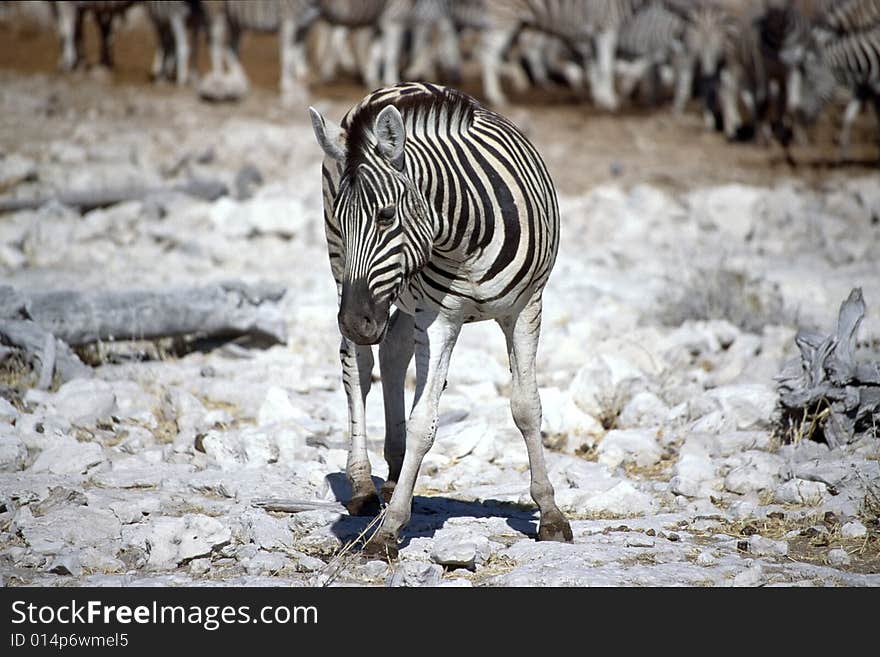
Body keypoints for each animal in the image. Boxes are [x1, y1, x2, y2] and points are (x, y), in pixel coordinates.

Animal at [308, 80, 572, 552]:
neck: (464, 237)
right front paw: (390, 528)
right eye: (341, 217)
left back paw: (396, 473)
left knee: (392, 352)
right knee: (357, 367)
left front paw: (550, 513)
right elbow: (423, 424)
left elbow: (527, 407)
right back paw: (364, 485)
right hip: (348, 277)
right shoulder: (438, 317)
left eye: (386, 215)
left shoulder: (526, 307)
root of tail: (391, 88)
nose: (356, 322)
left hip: (395, 302)